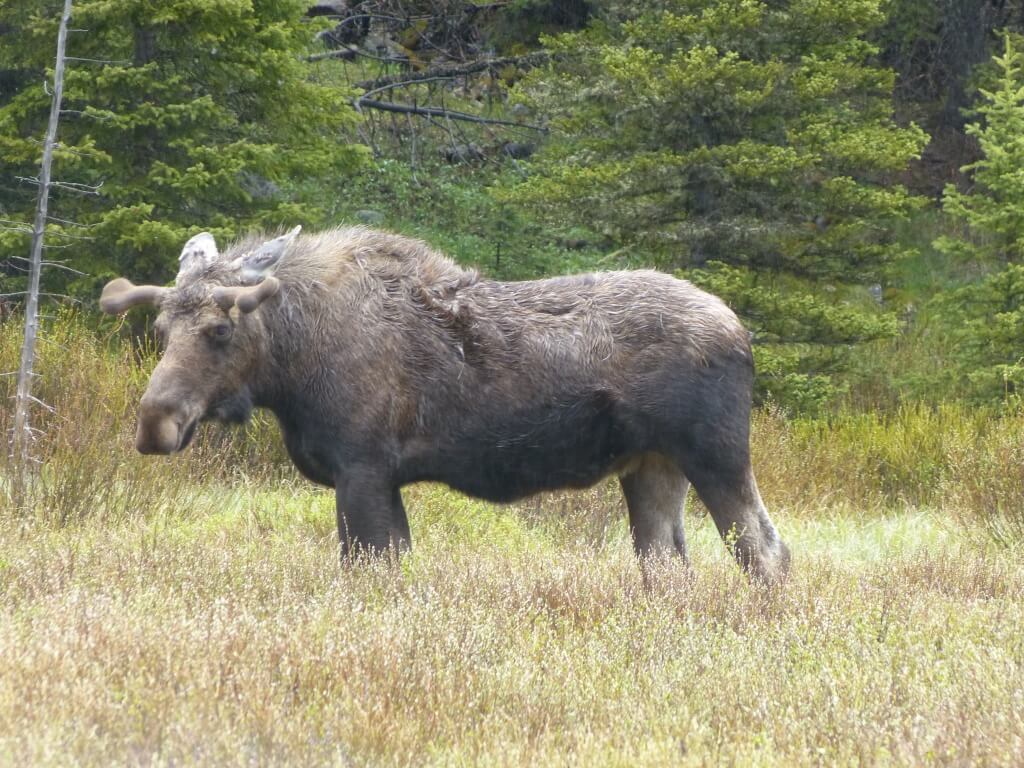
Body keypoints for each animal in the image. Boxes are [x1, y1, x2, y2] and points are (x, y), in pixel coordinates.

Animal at [101, 227, 790, 581]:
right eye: (160, 329)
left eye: (220, 330)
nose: (155, 424)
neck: (292, 367)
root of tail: (742, 332)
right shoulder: (381, 479)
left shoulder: (362, 467)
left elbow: (371, 572)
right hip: (652, 466)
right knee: (669, 567)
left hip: (716, 454)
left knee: (766, 552)